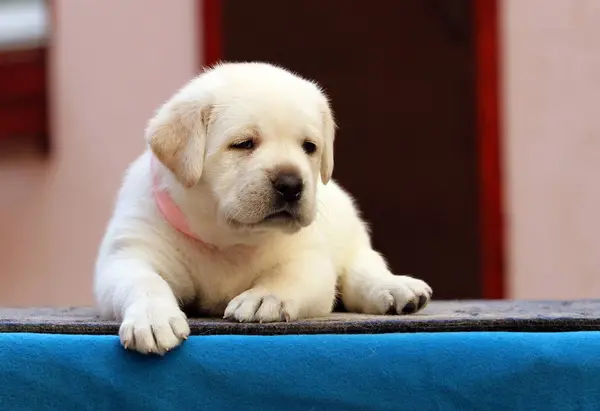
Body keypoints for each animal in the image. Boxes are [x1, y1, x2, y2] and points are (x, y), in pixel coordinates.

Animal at [92, 62, 432, 356]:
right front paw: (152, 318)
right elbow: (143, 281)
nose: (292, 184)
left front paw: (264, 297)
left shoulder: (308, 259)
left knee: (363, 269)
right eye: (244, 143)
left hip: (353, 241)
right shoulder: (129, 254)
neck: (228, 241)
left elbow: (289, 275)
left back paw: (397, 289)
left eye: (309, 147)